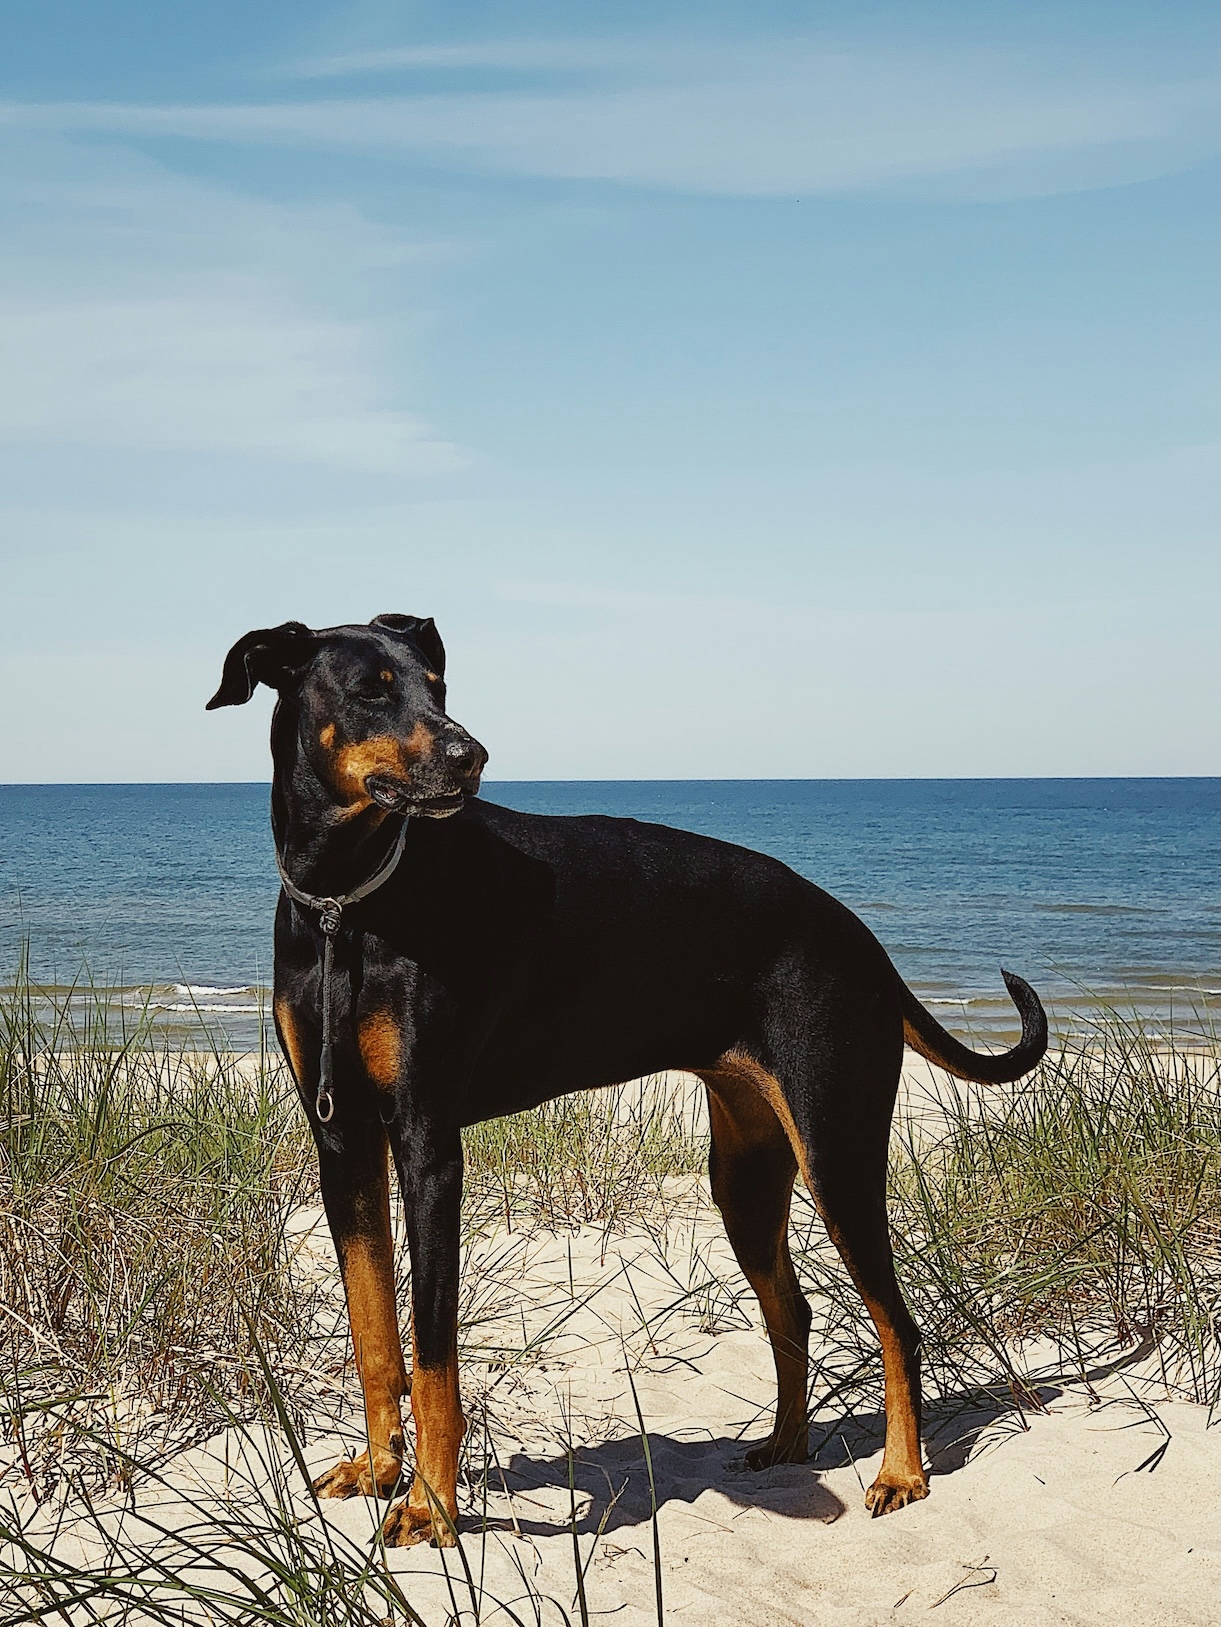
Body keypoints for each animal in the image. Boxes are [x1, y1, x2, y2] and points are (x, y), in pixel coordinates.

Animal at [208, 612, 1047, 1546]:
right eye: (371, 689)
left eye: (437, 684)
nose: (471, 754)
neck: (345, 904)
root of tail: (862, 940)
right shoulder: (343, 1140)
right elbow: (374, 1335)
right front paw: (381, 1469)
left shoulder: (427, 1147)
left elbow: (432, 1356)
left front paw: (429, 1504)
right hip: (745, 1172)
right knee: (792, 1309)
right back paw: (786, 1444)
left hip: (837, 1151)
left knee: (895, 1321)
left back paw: (901, 1471)